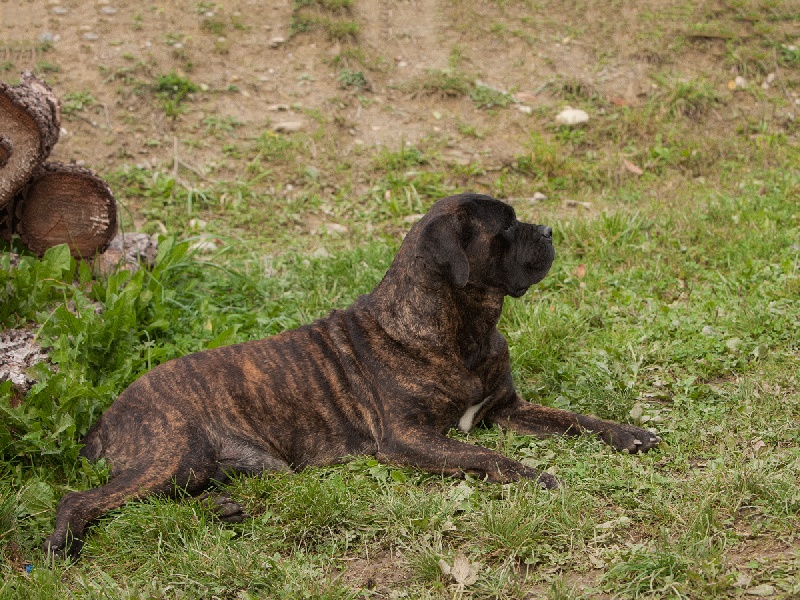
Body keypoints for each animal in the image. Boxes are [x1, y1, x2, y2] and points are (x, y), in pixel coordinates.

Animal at [43, 193, 660, 556]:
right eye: (505, 227)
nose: (550, 231)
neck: (461, 328)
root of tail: (105, 418)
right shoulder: (408, 437)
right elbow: (486, 456)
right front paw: (534, 476)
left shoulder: (507, 408)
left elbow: (576, 418)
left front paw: (629, 433)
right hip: (172, 453)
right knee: (83, 500)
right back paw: (61, 547)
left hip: (220, 466)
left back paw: (223, 509)